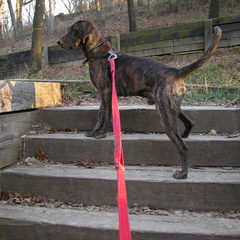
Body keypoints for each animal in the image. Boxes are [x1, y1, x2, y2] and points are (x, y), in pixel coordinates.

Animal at [57, 20, 222, 178]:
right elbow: (100, 115)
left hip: (164, 112)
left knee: (183, 147)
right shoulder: (104, 95)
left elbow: (107, 116)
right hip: (172, 106)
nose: (58, 42)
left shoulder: (105, 92)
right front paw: (93, 131)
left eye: (73, 30)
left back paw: (183, 174)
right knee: (190, 122)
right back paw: (185, 135)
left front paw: (102, 134)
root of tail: (176, 72)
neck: (98, 51)